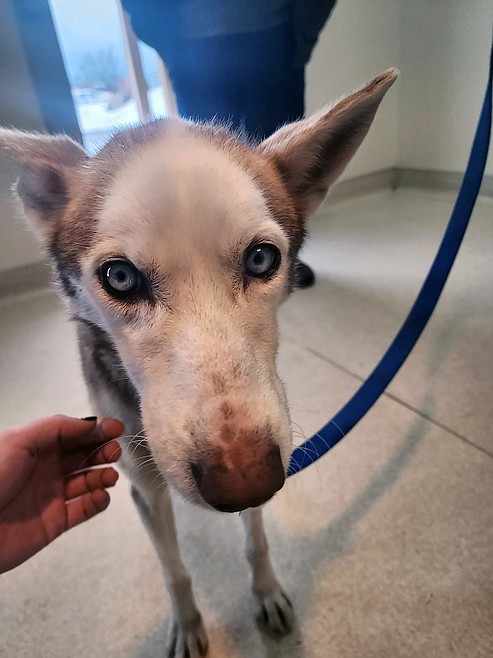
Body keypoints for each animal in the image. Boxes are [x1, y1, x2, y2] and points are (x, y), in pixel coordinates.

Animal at [1, 69, 397, 657]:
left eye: (262, 258)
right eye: (120, 277)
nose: (243, 482)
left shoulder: (263, 443)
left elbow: (255, 540)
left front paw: (266, 591)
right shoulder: (144, 481)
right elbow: (174, 570)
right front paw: (188, 625)